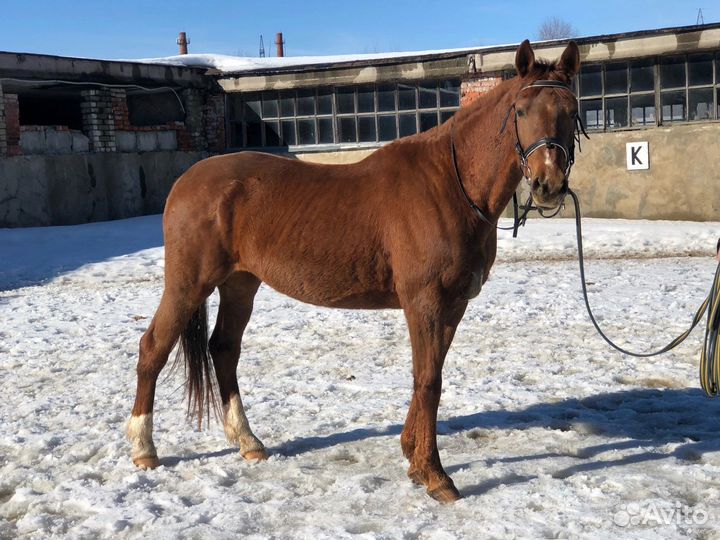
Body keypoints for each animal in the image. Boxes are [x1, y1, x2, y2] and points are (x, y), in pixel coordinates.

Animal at [127, 39, 582, 502]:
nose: (547, 185)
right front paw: (435, 475)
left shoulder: (452, 307)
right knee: (153, 348)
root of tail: (186, 182)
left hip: (240, 284)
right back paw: (144, 449)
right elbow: (428, 380)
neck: (450, 185)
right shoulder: (425, 303)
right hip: (189, 284)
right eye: (521, 110)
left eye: (571, 109)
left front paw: (412, 455)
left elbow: (427, 377)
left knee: (223, 349)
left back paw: (248, 441)